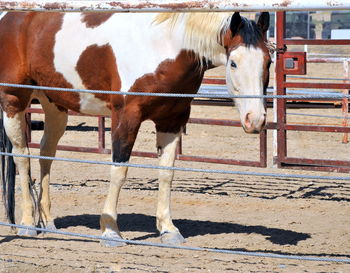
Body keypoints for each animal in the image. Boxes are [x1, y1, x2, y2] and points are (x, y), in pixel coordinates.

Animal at [0, 10, 272, 245]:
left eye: (268, 62)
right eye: (233, 63)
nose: (255, 119)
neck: (162, 47)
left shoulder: (172, 119)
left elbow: (167, 172)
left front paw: (168, 230)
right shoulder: (125, 117)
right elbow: (119, 170)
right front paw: (110, 230)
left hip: (54, 105)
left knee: (46, 154)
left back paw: (47, 223)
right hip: (14, 101)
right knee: (21, 156)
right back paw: (27, 224)